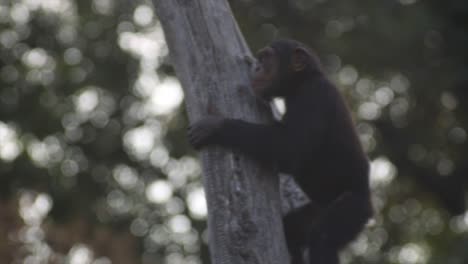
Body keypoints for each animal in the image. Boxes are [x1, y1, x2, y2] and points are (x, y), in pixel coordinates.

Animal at [186, 39, 372, 264]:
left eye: (266, 58)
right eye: (259, 58)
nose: (256, 67)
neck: (300, 83)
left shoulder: (314, 98)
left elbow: (289, 150)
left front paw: (215, 126)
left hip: (353, 207)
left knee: (322, 238)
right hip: (317, 209)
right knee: (292, 230)